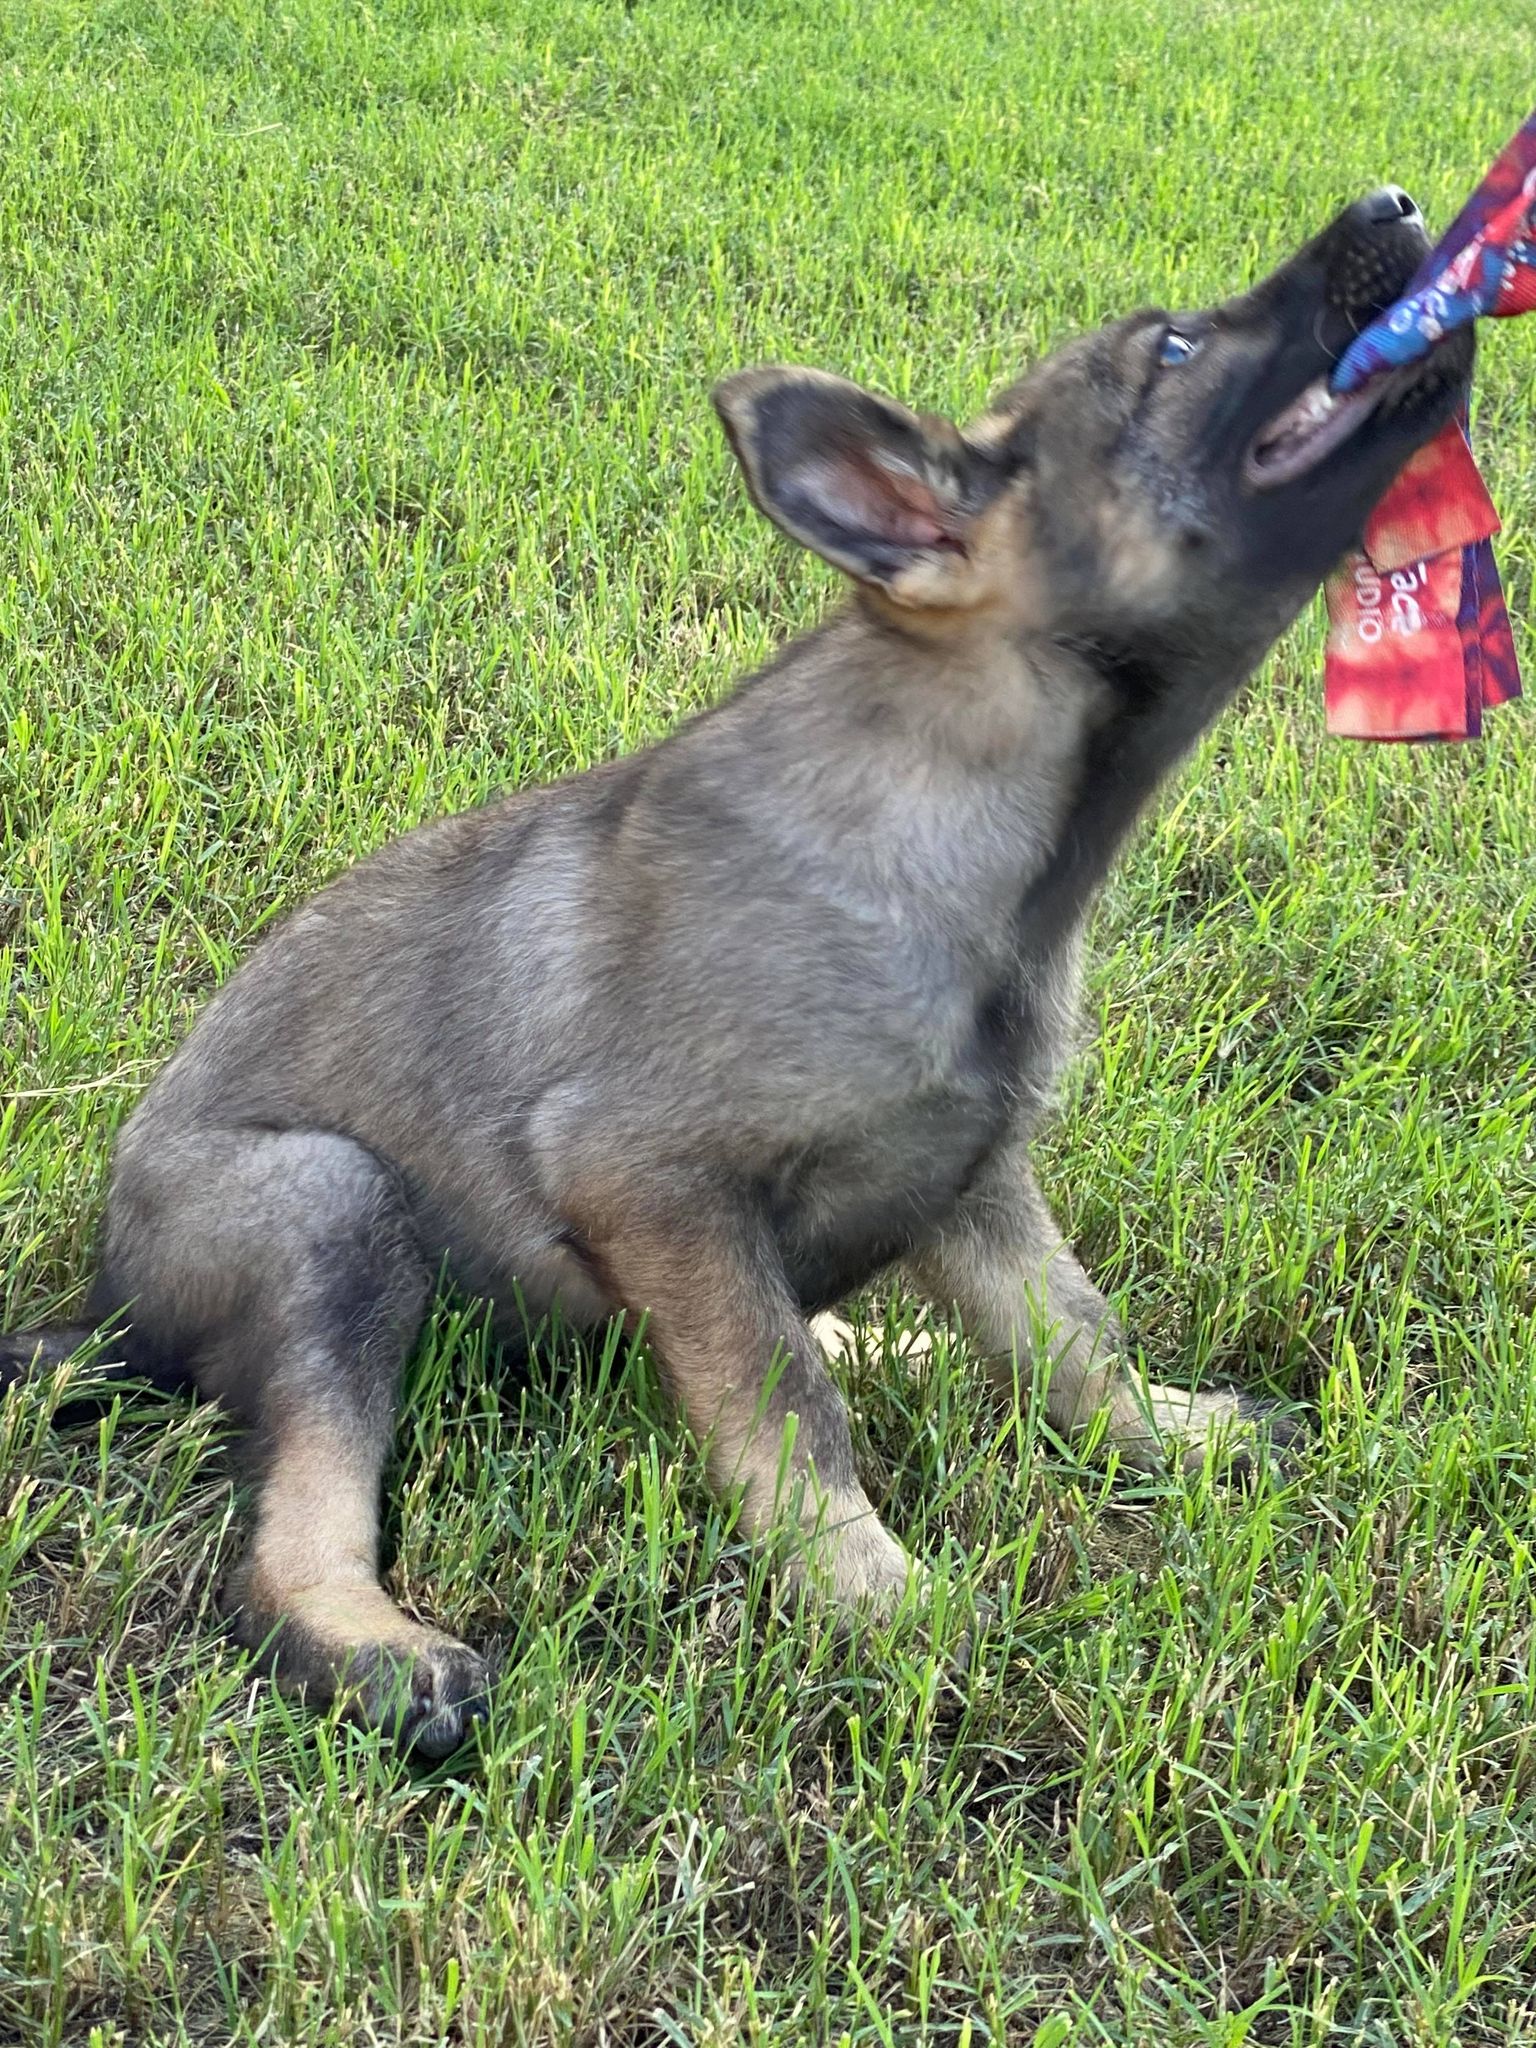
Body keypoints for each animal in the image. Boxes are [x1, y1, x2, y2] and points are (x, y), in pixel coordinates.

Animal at [0, 188, 1466, 1744]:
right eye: (1174, 348)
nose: (1396, 206)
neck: (979, 832)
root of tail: (103, 1304)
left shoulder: (975, 1177)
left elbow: (1074, 1335)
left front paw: (1167, 1435)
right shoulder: (650, 1180)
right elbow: (785, 1407)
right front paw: (879, 1600)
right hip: (328, 1209)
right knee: (291, 1532)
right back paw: (371, 1646)